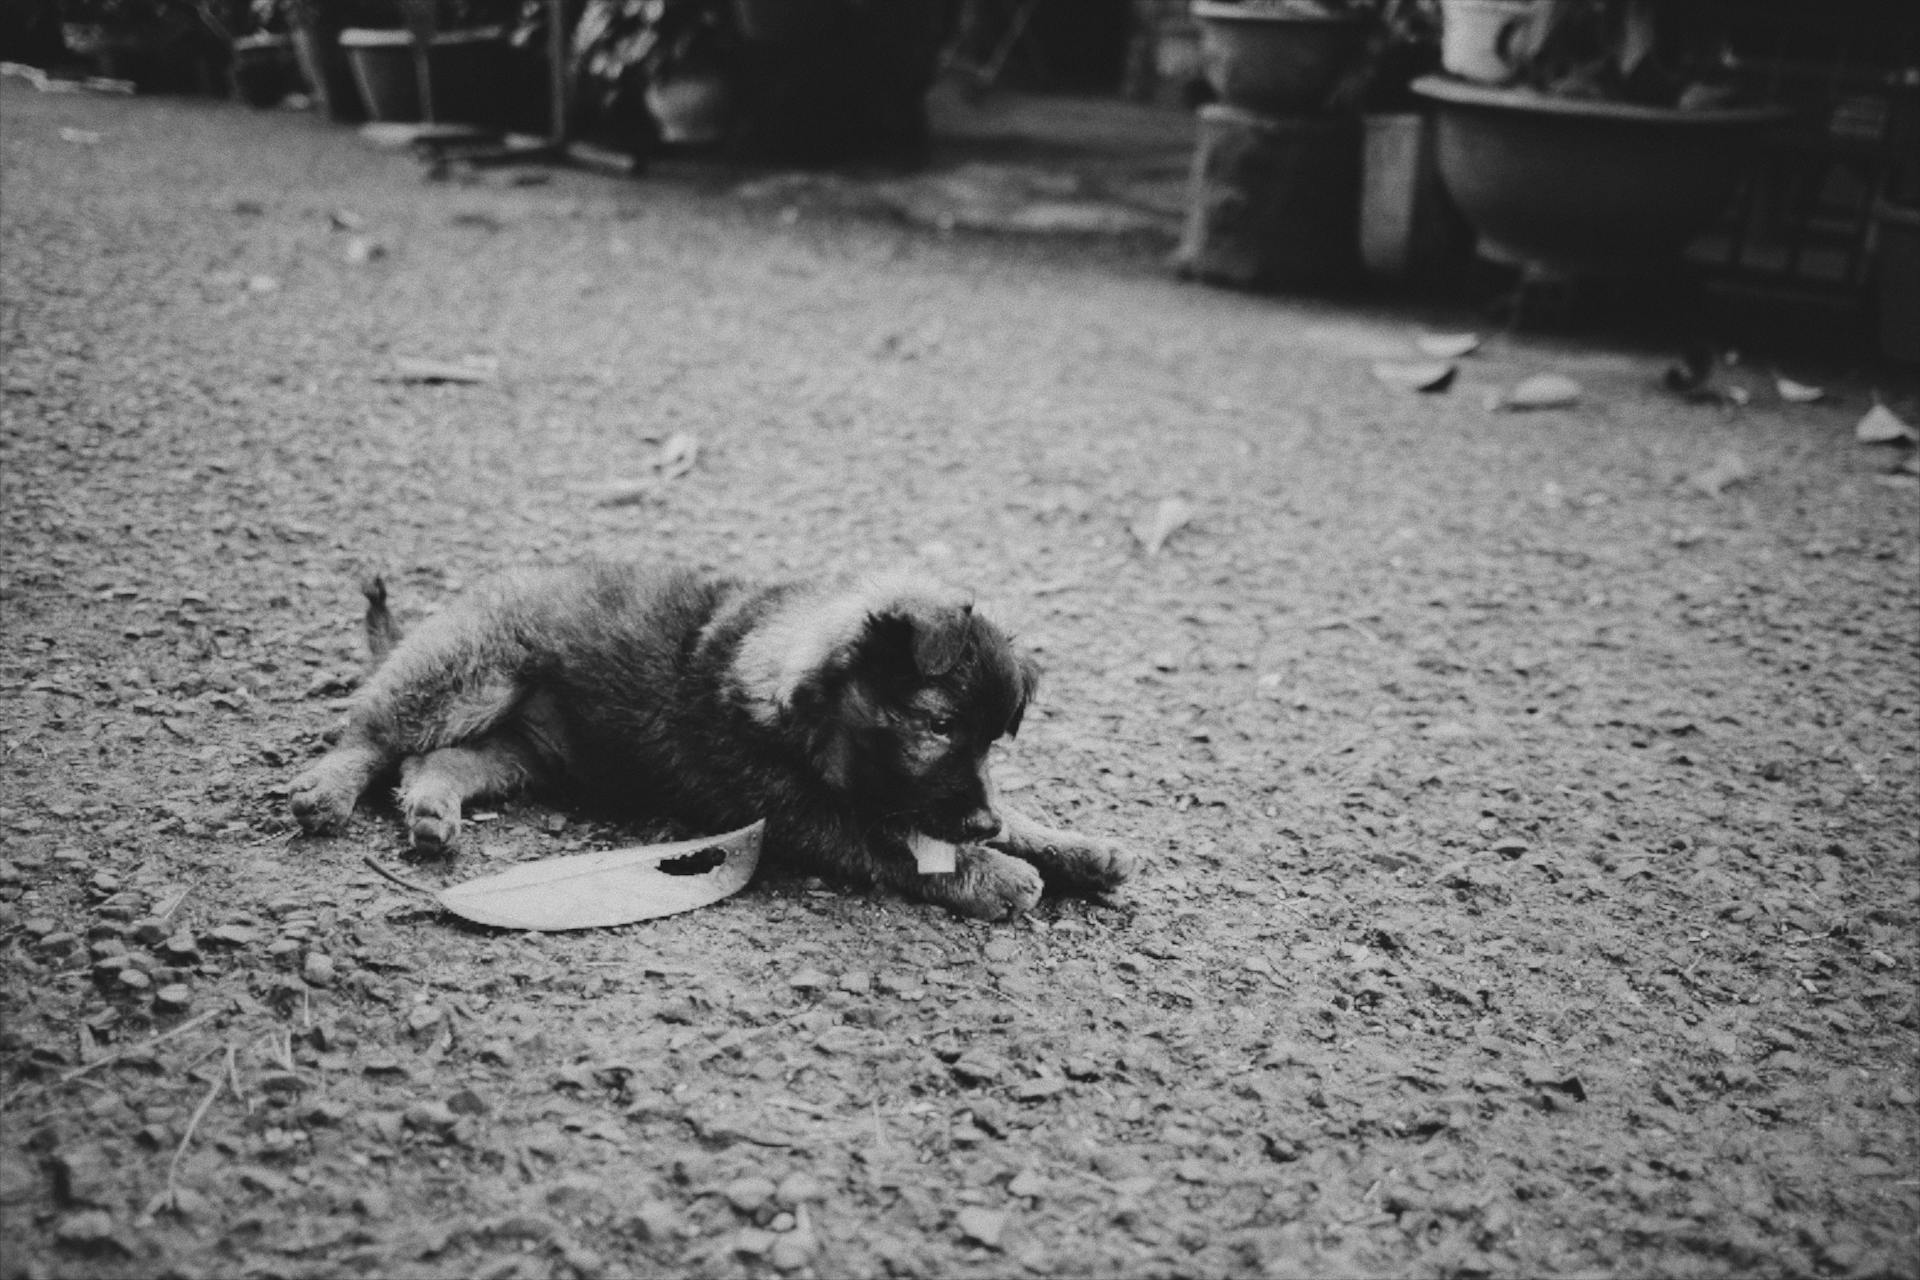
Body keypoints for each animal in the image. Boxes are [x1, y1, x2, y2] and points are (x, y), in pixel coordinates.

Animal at [286, 564, 1136, 921]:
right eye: (937, 727)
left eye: (993, 740)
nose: (983, 827)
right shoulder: (803, 815)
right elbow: (891, 842)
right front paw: (994, 873)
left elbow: (990, 821)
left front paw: (1072, 846)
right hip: (470, 671)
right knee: (372, 731)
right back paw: (324, 791)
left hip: (525, 753)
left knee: (438, 759)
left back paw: (431, 810)